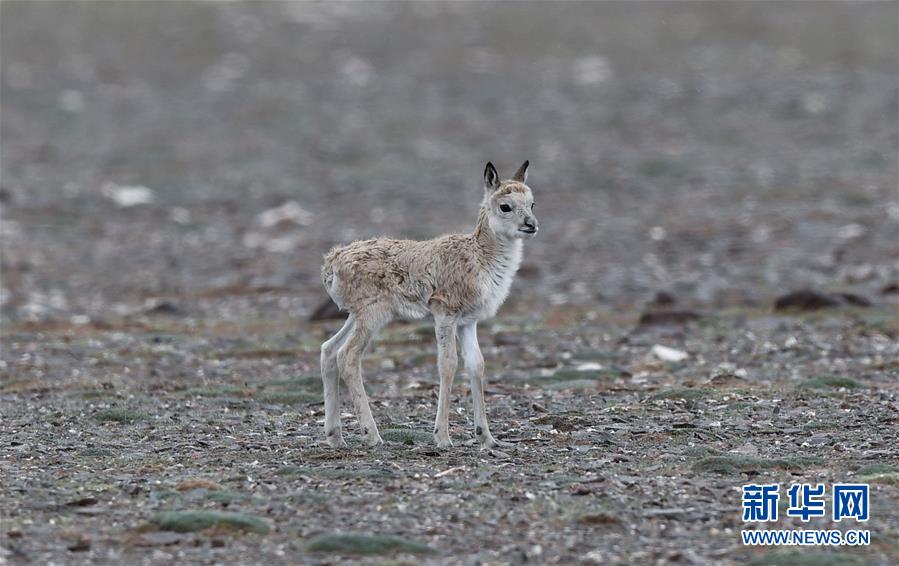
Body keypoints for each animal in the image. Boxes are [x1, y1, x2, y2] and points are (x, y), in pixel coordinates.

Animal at [320, 162, 536, 450]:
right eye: (505, 206)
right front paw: (442, 437)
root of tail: (331, 262)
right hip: (372, 315)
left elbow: (476, 364)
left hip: (356, 316)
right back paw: (372, 435)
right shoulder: (444, 314)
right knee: (348, 356)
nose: (531, 225)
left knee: (328, 349)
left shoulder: (468, 322)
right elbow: (448, 364)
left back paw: (335, 436)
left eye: (532, 203)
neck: (481, 256)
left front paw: (487, 437)